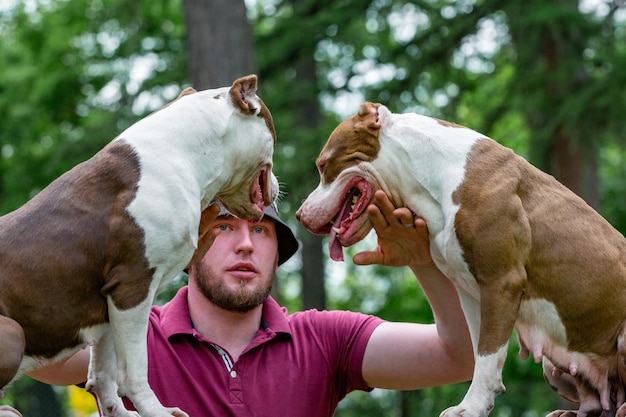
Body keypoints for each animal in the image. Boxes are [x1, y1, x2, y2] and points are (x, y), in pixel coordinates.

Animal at [0, 75, 278, 416]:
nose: (277, 187)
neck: (186, 151)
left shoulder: (108, 302)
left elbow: (103, 372)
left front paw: (120, 412)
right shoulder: (133, 286)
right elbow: (135, 367)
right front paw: (156, 411)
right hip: (13, 333)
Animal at [294, 102, 624, 416]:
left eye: (323, 165)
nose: (299, 214)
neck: (429, 178)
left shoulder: (501, 282)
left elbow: (489, 354)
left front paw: (471, 407)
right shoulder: (471, 291)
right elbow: (480, 353)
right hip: (557, 368)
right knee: (597, 403)